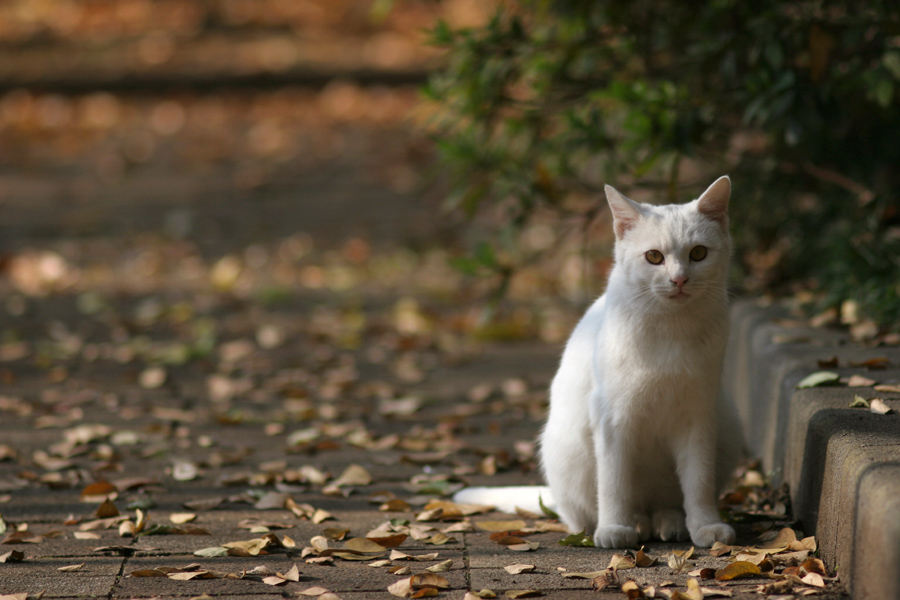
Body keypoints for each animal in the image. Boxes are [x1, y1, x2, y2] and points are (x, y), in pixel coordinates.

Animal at [454, 175, 740, 548]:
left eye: (698, 253)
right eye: (654, 257)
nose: (679, 280)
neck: (671, 328)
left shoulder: (699, 416)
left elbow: (699, 481)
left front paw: (707, 526)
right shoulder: (612, 419)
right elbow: (614, 484)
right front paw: (615, 528)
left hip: (726, 431)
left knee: (665, 501)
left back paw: (669, 522)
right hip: (569, 451)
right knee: (595, 510)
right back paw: (636, 524)